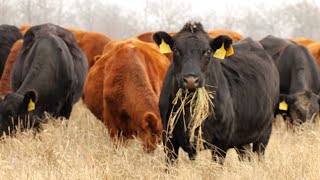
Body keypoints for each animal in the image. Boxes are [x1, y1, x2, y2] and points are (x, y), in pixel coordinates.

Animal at [152, 21, 278, 164]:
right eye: (176, 50)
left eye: (208, 51)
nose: (191, 80)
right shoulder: (168, 139)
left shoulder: (221, 142)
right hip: (243, 138)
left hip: (265, 130)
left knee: (258, 154)